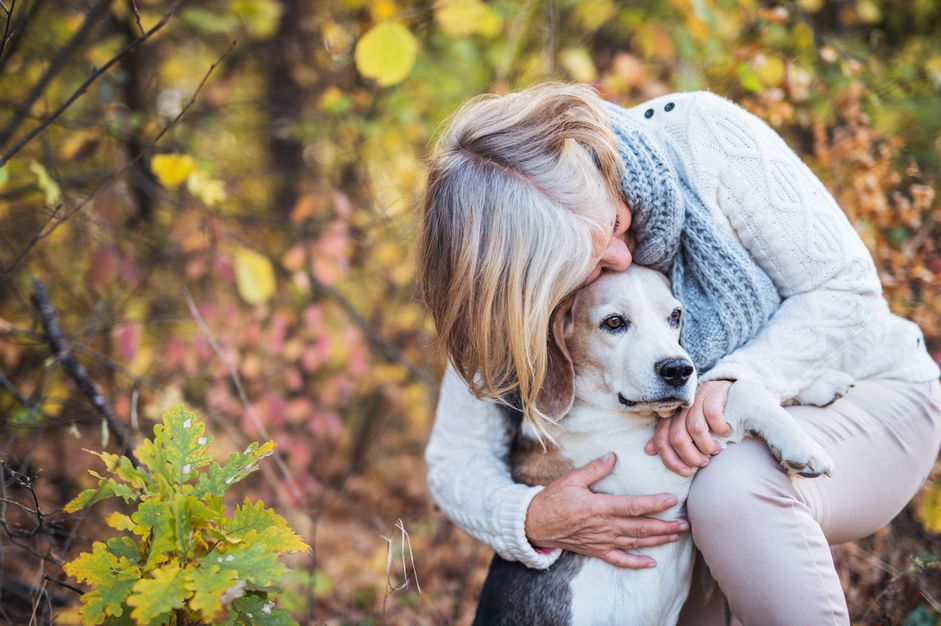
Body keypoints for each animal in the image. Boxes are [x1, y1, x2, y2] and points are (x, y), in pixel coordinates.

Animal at [474, 264, 840, 624]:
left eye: (675, 316)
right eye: (614, 322)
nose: (678, 369)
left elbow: (732, 385)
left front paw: (820, 384)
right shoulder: (653, 482)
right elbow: (743, 392)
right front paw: (800, 445)